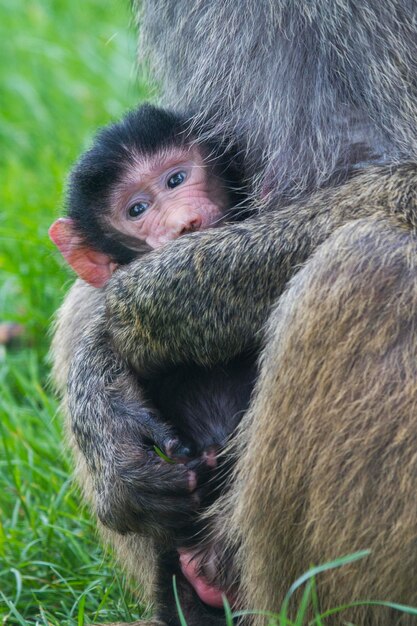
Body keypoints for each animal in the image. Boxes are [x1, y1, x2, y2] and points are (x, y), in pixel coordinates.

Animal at [50, 0, 417, 620]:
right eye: (137, 208)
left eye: (178, 179)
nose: (184, 224)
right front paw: (98, 389)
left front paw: (147, 307)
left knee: (369, 264)